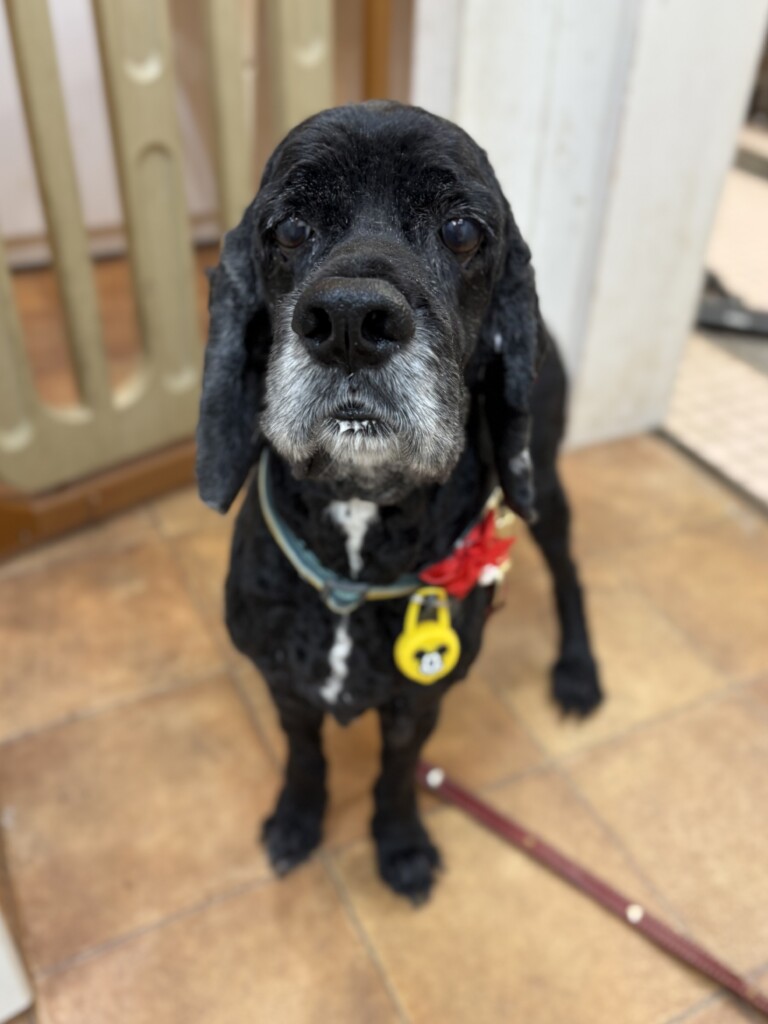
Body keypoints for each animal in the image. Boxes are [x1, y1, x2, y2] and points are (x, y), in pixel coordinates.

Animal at [196, 101, 602, 903]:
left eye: (462, 229)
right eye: (288, 227)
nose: (351, 322)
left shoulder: (421, 700)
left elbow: (397, 773)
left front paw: (402, 846)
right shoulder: (284, 684)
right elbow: (305, 757)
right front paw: (296, 821)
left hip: (540, 482)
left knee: (570, 572)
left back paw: (577, 671)